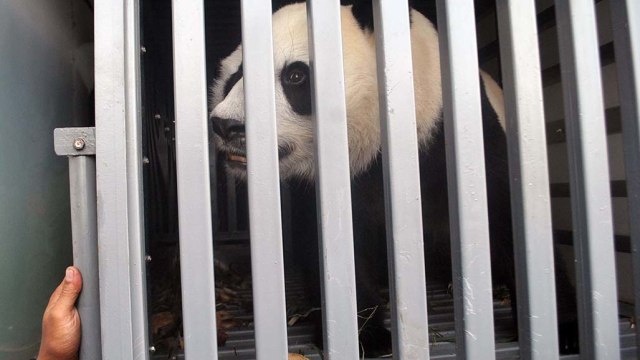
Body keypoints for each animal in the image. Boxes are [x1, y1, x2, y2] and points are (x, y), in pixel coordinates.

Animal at [210, 1, 580, 356]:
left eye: (296, 75)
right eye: (235, 76)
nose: (226, 125)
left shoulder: (455, 132)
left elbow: (504, 216)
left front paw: (560, 326)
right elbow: (336, 247)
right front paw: (367, 336)